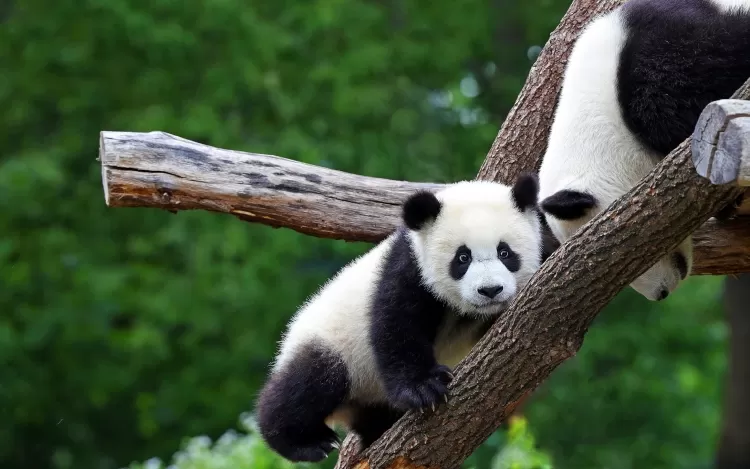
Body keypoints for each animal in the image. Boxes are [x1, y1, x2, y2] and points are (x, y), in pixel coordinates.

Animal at [256, 175, 544, 460]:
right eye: (462, 257)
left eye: (505, 253)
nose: (490, 290)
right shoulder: (409, 269)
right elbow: (397, 326)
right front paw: (424, 388)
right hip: (335, 344)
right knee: (312, 380)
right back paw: (304, 441)